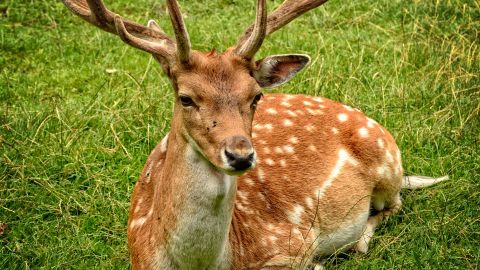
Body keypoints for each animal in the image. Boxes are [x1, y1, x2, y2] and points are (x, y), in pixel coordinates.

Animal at [62, 0, 448, 268]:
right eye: (186, 97)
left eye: (255, 96)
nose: (240, 154)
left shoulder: (290, 247)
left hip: (385, 159)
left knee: (394, 204)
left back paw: (362, 240)